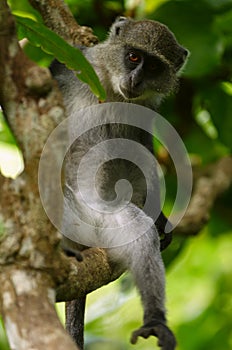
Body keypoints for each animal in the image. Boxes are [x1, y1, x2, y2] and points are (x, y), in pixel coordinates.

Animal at [49, 16, 188, 350]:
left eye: (154, 67)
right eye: (134, 57)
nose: (136, 80)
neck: (112, 86)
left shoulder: (146, 108)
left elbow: (140, 148)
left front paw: (161, 219)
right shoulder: (73, 67)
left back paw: (154, 319)